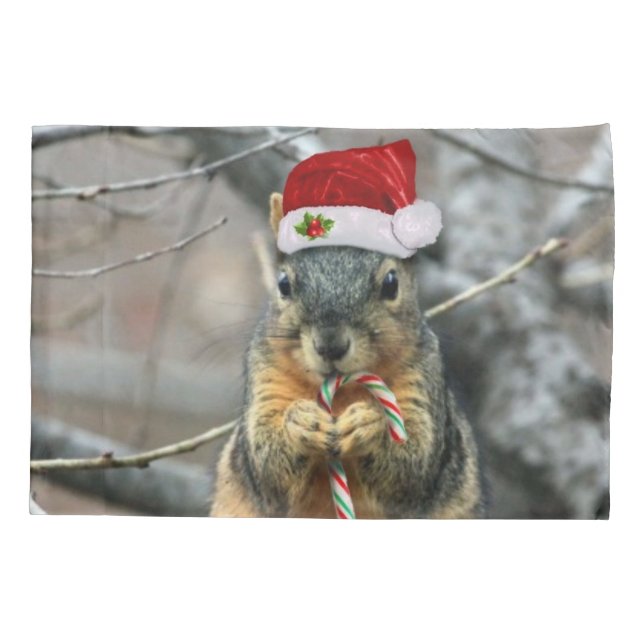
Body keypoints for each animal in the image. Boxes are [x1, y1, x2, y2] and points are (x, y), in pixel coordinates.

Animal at [210, 187, 485, 519]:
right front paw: (301, 423)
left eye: (391, 283)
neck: (340, 394)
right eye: (283, 284)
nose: (330, 345)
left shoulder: (422, 379)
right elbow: (266, 468)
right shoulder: (265, 376)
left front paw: (369, 424)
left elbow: (414, 468)